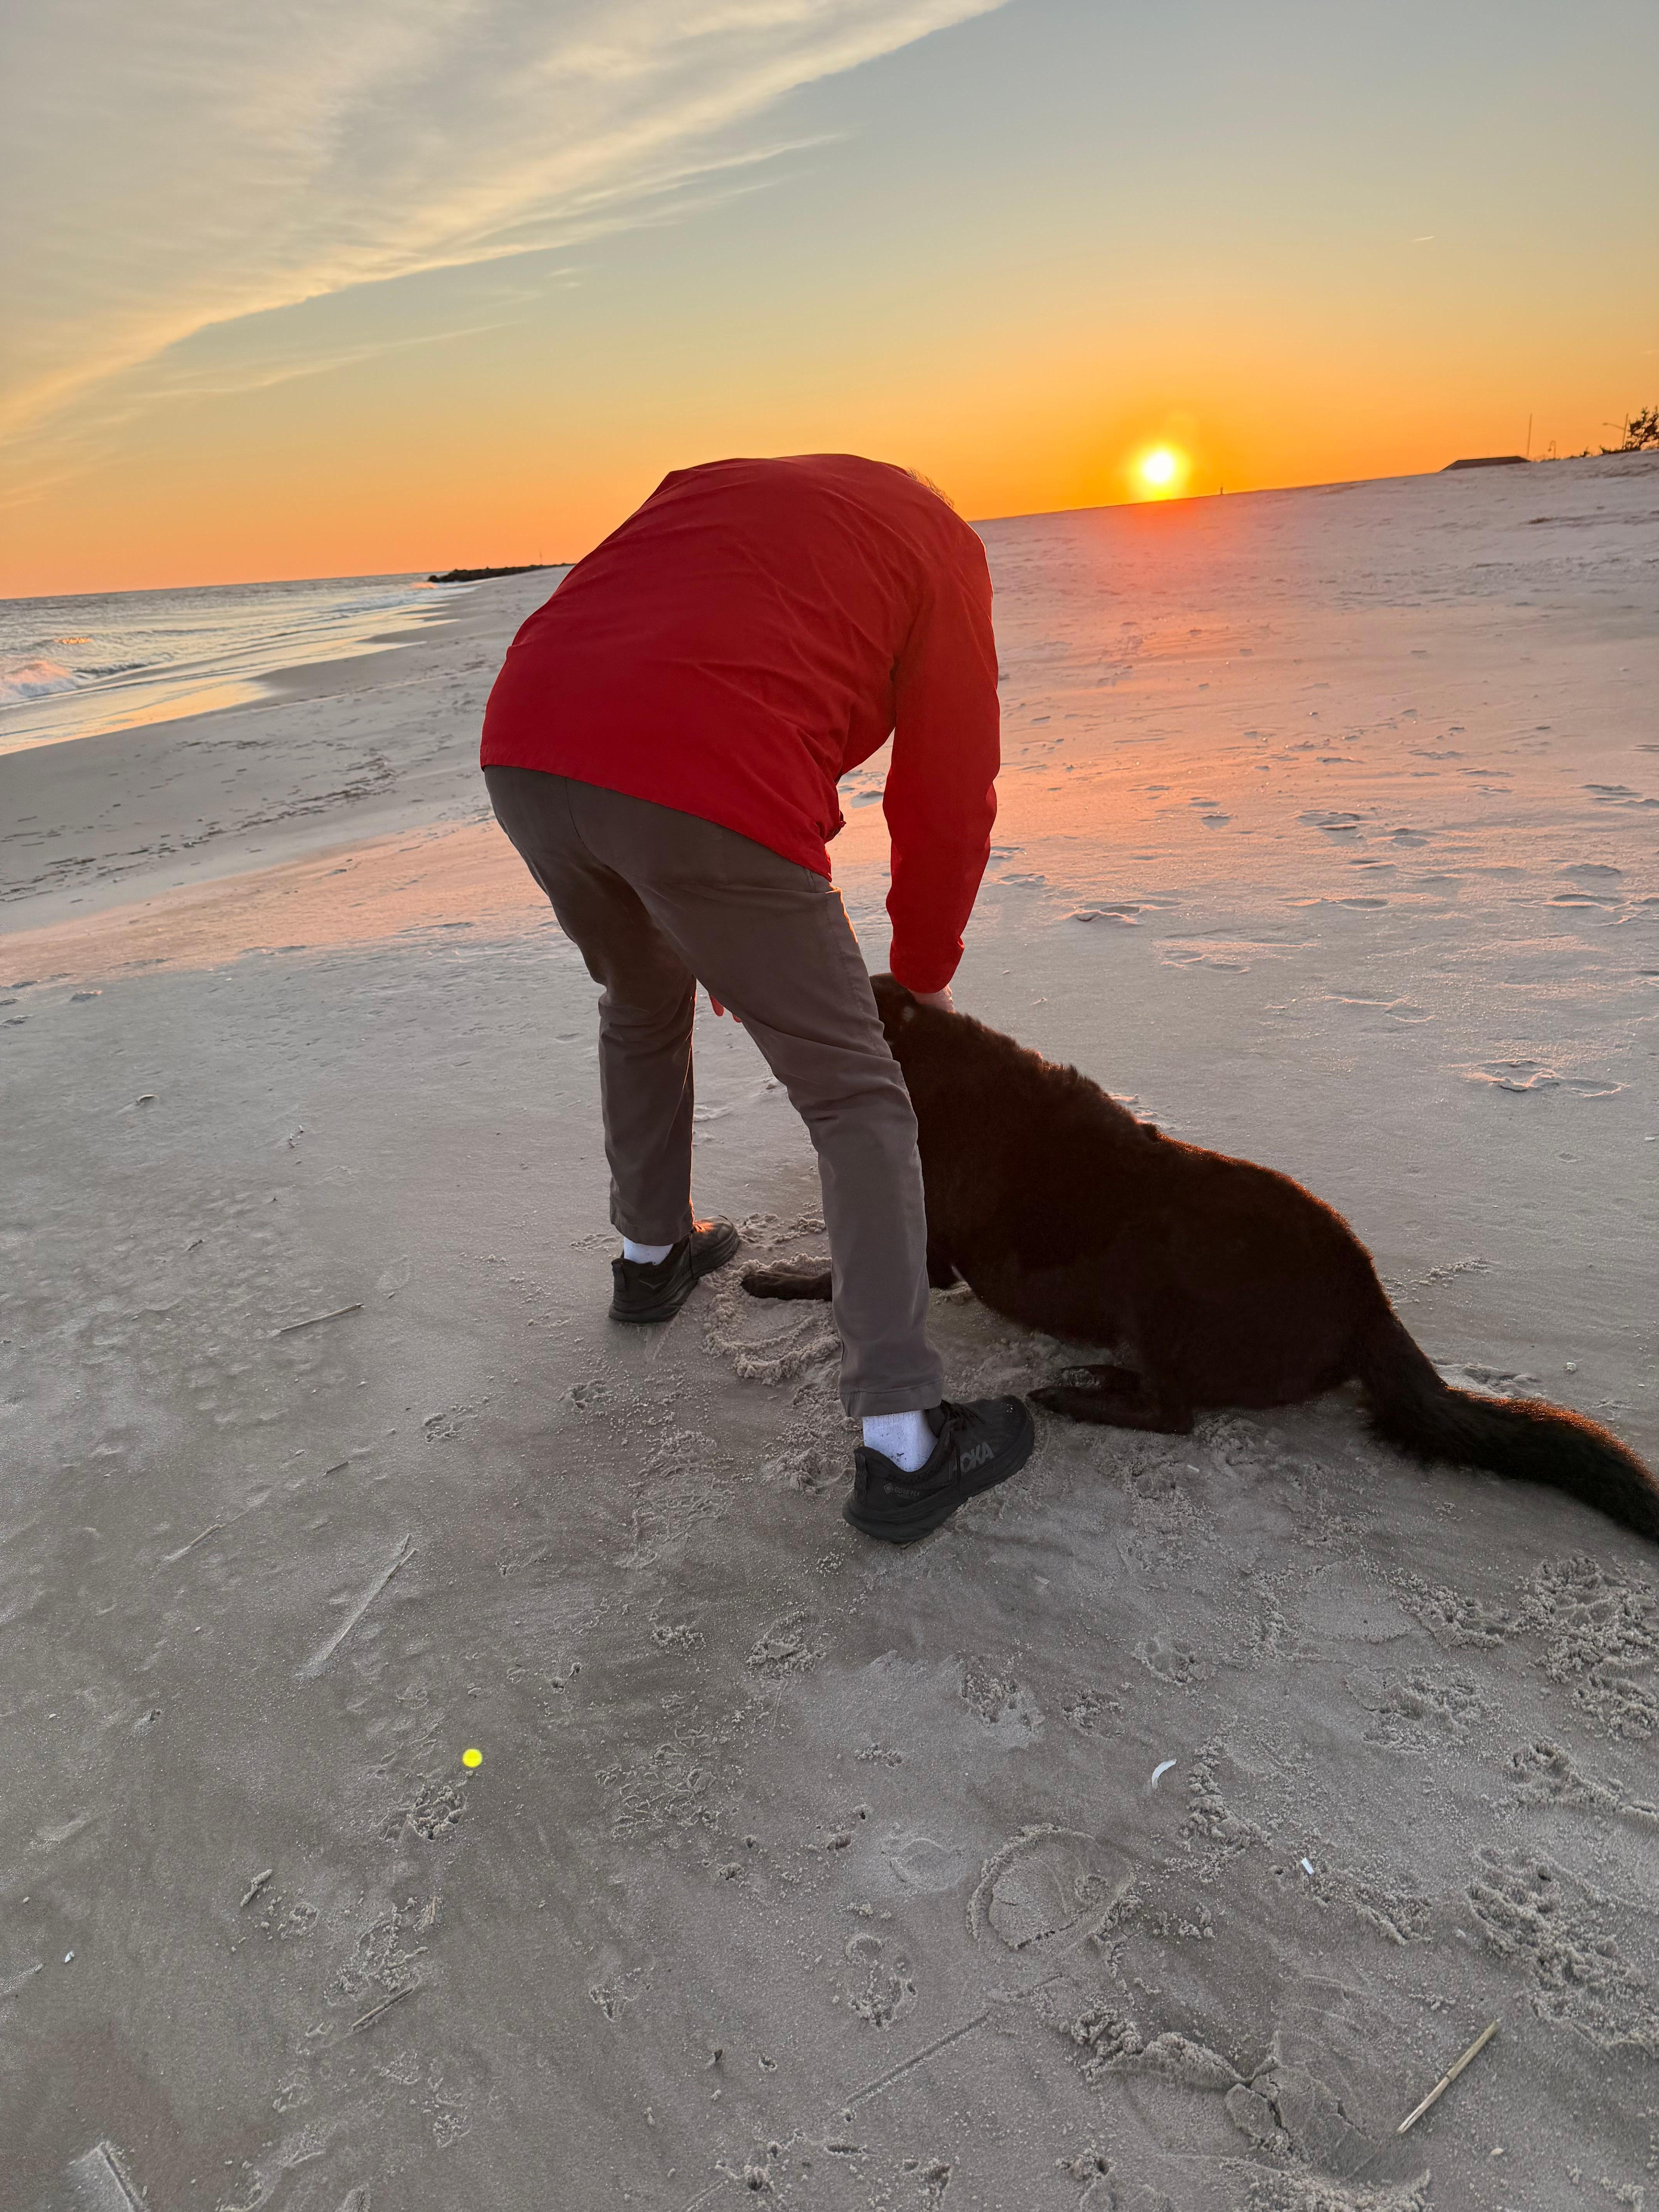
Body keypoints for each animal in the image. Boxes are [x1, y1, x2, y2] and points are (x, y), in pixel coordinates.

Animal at [743, 975, 1658, 1542]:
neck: (924, 1056)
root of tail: (1370, 1304)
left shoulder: (916, 1244)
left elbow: (834, 1275)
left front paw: (772, 1276)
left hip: (1161, 1283)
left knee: (1176, 1412)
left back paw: (1076, 1396)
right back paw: (1096, 1377)